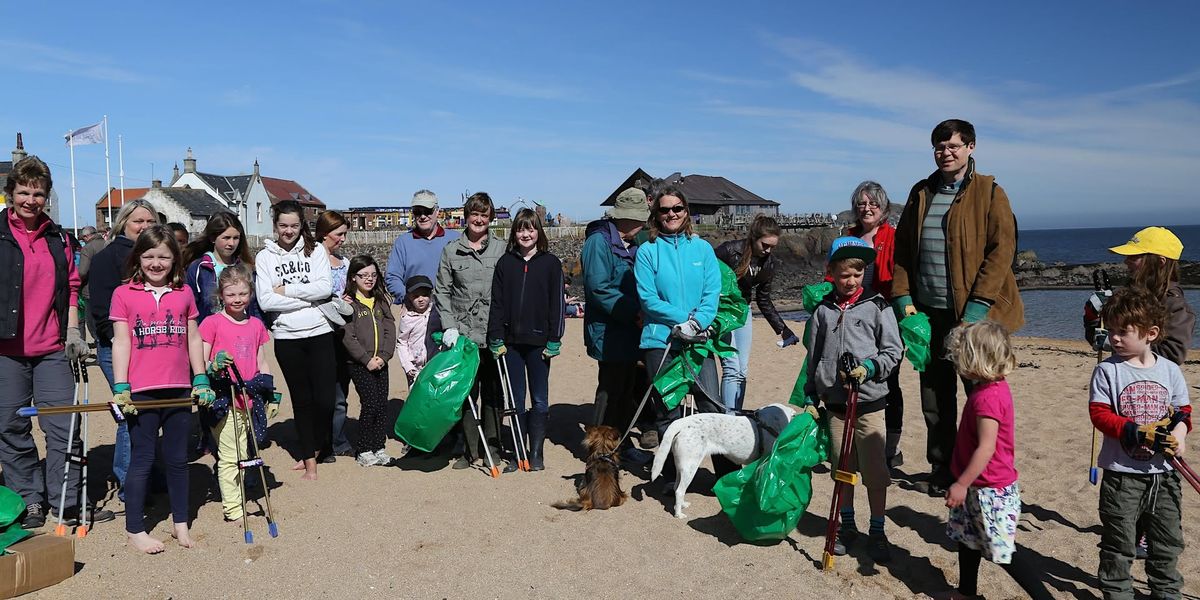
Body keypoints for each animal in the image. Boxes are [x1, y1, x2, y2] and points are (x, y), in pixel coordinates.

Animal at [648, 403, 796, 520]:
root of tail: (682, 422)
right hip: (690, 467)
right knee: (679, 490)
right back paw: (678, 514)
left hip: (682, 466)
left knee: (676, 487)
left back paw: (682, 505)